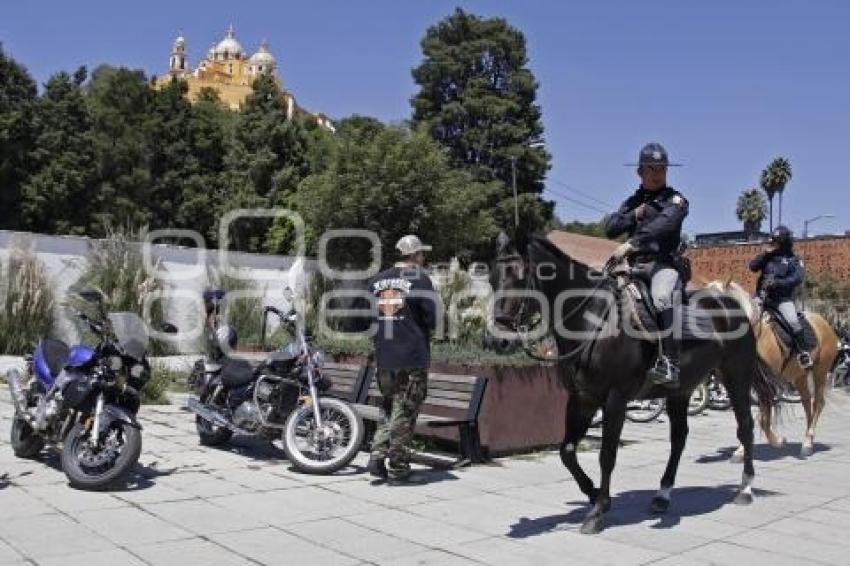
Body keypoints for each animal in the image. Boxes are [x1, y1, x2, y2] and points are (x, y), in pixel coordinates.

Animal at [490, 236, 776, 536]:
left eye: (519, 277)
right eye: (493, 278)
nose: (499, 341)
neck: (593, 320)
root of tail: (734, 306)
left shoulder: (615, 399)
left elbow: (607, 455)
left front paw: (598, 511)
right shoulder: (581, 398)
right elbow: (566, 451)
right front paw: (592, 493)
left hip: (736, 379)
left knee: (745, 427)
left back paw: (745, 489)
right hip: (680, 391)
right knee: (679, 438)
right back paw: (662, 496)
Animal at [704, 282, 840, 460]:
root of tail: (824, 322)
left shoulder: (766, 384)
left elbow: (763, 418)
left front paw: (778, 441)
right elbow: (744, 418)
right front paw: (741, 450)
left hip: (820, 371)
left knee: (817, 403)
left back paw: (808, 442)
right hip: (800, 376)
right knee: (807, 403)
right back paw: (807, 443)